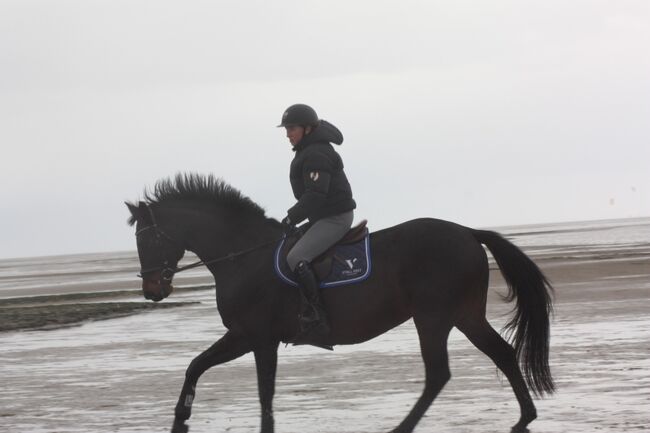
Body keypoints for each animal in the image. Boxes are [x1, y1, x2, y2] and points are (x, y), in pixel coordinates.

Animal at [125, 173, 552, 432]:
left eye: (148, 239)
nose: (152, 290)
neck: (244, 256)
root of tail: (467, 232)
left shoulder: (259, 338)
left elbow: (264, 391)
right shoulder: (243, 336)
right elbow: (196, 365)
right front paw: (180, 419)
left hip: (432, 317)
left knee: (438, 374)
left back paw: (403, 427)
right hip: (464, 314)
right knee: (502, 353)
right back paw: (524, 417)